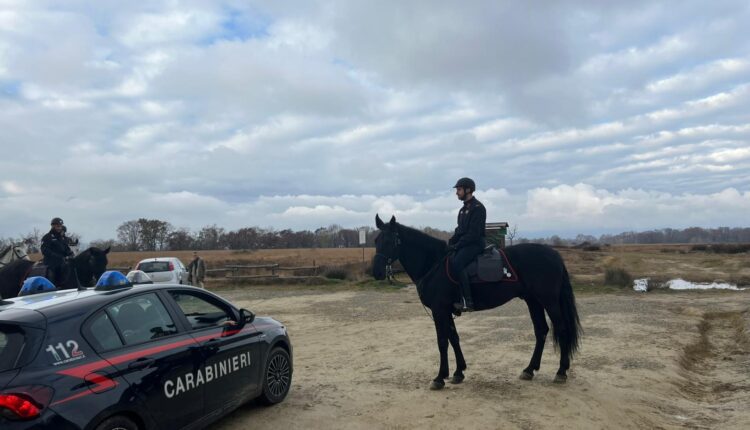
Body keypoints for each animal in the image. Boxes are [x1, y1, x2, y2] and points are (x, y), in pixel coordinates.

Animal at [372, 215, 582, 390]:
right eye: (376, 241)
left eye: (390, 241)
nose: (377, 272)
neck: (434, 264)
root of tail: (554, 254)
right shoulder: (447, 310)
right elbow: (454, 338)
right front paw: (458, 372)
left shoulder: (439, 310)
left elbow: (442, 341)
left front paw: (440, 378)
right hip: (533, 301)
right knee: (541, 330)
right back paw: (529, 370)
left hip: (549, 301)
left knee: (561, 328)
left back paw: (561, 372)